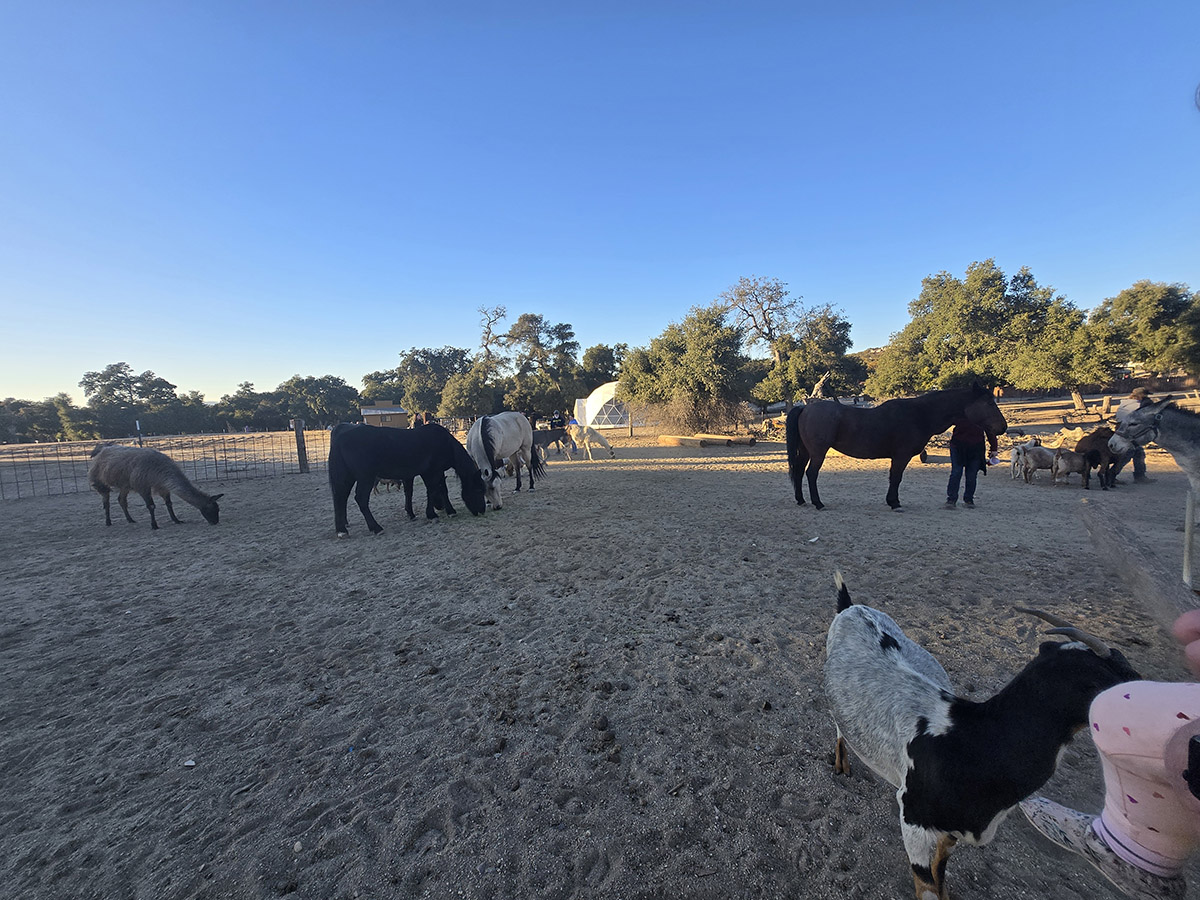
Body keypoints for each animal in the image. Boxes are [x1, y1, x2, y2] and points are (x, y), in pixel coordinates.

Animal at [87, 444, 224, 528]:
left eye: (218, 509)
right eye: (212, 510)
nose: (215, 522)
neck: (159, 471)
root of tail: (100, 452)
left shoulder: (162, 486)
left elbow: (169, 504)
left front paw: (176, 520)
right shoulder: (142, 485)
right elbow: (151, 506)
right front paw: (154, 525)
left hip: (125, 485)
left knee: (121, 500)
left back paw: (130, 519)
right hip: (99, 481)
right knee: (106, 502)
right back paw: (108, 522)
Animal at [326, 422, 484, 535]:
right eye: (479, 490)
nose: (482, 511)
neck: (445, 443)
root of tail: (341, 436)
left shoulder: (424, 474)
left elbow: (417, 491)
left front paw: (413, 513)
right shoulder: (431, 472)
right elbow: (432, 490)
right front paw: (433, 514)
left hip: (347, 477)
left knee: (340, 497)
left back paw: (342, 529)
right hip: (366, 478)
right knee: (360, 499)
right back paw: (376, 528)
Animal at [782, 381, 1008, 513]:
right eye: (989, 403)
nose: (1003, 427)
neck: (920, 414)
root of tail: (805, 408)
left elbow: (894, 478)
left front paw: (892, 501)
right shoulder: (901, 456)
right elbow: (896, 478)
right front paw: (894, 502)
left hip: (806, 451)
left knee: (799, 472)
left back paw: (801, 500)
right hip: (818, 453)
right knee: (811, 474)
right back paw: (818, 503)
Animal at [820, 573, 1137, 900]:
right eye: (1122, 681)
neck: (975, 740)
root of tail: (852, 607)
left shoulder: (953, 829)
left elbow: (941, 867)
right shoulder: (913, 818)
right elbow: (926, 883)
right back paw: (842, 763)